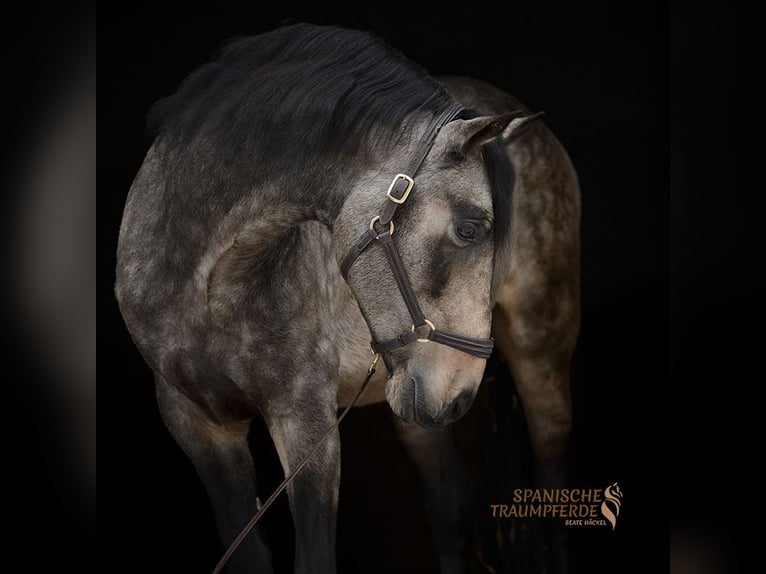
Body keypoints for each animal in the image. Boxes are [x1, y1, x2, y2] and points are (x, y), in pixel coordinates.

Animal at [116, 24, 579, 574]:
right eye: (469, 229)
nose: (461, 396)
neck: (210, 286)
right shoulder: (197, 423)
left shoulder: (305, 421)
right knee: (451, 502)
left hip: (537, 353)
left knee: (552, 493)